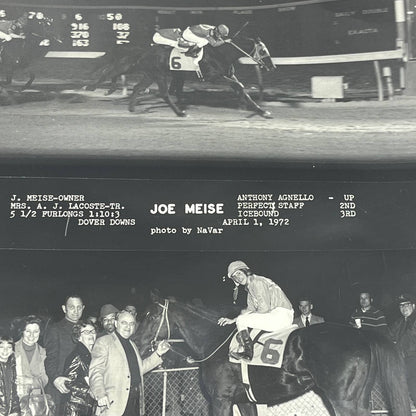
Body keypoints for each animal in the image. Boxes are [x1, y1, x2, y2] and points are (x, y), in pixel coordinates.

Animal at [88, 33, 276, 118]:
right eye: (263, 50)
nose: (272, 66)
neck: (220, 53)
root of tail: (145, 52)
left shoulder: (228, 76)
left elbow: (242, 90)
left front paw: (262, 111)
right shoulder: (213, 76)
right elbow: (240, 87)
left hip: (151, 75)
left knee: (137, 88)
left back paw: (132, 108)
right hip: (160, 75)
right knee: (163, 93)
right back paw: (180, 112)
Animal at [136, 296, 412, 416]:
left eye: (151, 316)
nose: (137, 342)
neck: (214, 339)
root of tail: (361, 334)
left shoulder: (220, 400)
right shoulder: (244, 401)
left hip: (343, 400)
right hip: (359, 398)